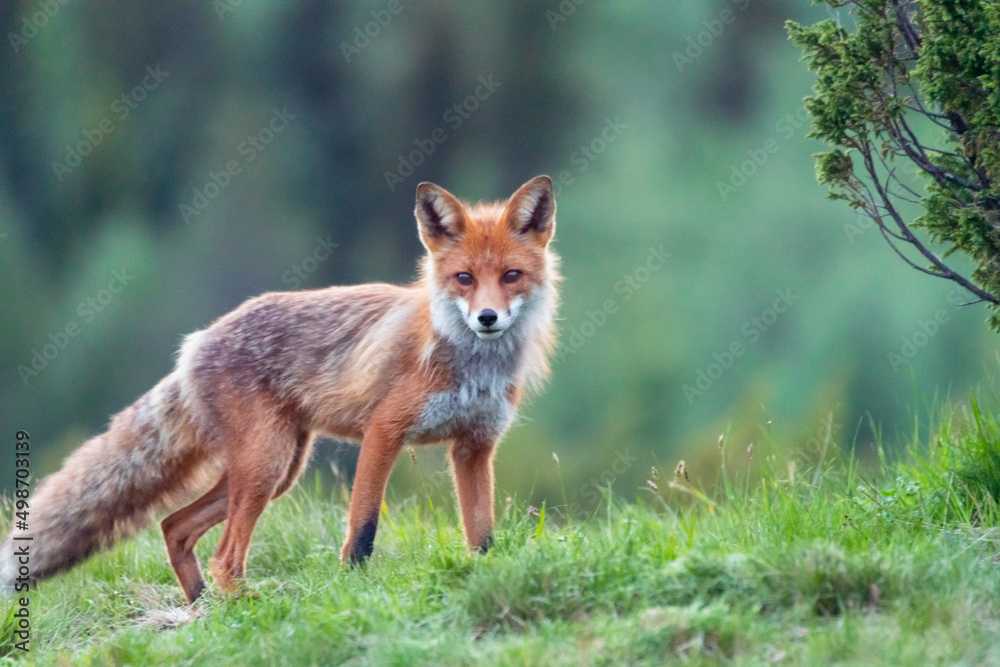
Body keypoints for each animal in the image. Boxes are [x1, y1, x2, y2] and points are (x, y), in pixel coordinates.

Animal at [0, 175, 560, 604]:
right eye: (464, 278)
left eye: (511, 276)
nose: (487, 318)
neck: (471, 367)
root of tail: (194, 345)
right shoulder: (384, 432)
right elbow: (362, 531)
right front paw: (351, 590)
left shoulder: (473, 447)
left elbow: (482, 535)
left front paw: (486, 575)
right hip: (266, 465)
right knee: (224, 556)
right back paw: (244, 605)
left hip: (275, 468)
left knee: (174, 527)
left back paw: (205, 607)